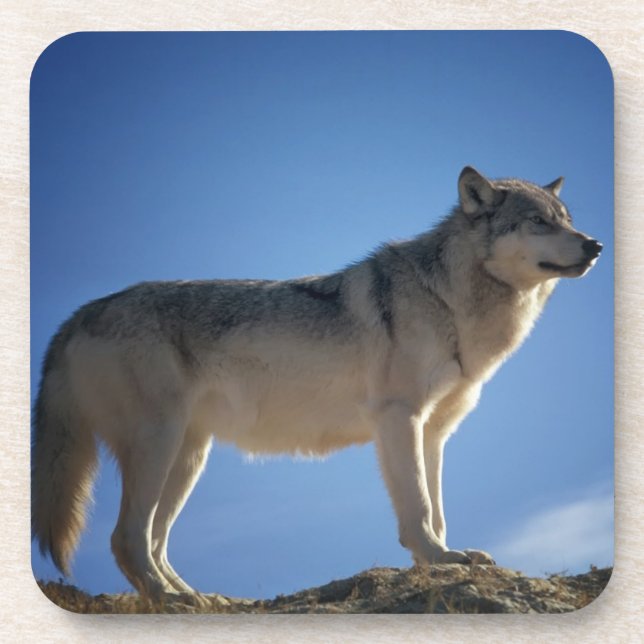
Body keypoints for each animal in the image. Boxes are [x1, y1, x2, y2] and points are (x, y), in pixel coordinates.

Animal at [32, 167, 602, 606]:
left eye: (567, 219)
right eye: (538, 221)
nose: (595, 244)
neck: (448, 299)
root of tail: (78, 315)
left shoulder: (434, 432)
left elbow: (438, 509)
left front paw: (442, 559)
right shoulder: (399, 418)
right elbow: (418, 508)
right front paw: (438, 558)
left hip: (189, 457)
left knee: (154, 542)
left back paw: (198, 598)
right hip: (160, 445)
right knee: (127, 538)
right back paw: (170, 601)